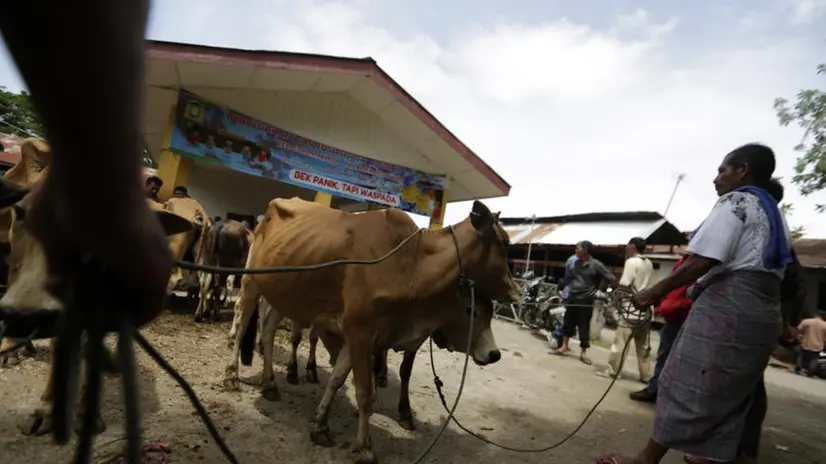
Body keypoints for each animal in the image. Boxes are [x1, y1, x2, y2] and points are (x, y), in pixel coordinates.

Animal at [219, 197, 516, 464]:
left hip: (283, 295)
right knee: (243, 322)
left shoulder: (360, 338)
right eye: (505, 243)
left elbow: (337, 379)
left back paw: (270, 384)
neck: (411, 263)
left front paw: (320, 425)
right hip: (251, 282)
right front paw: (364, 448)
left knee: (268, 332)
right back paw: (232, 375)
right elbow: (365, 394)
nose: (515, 293)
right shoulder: (361, 334)